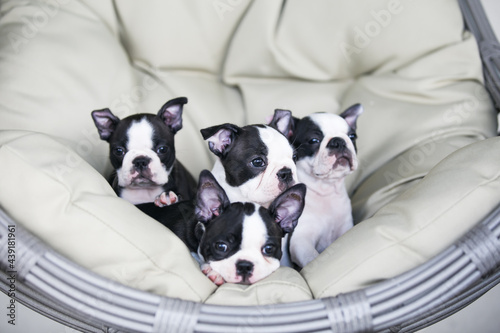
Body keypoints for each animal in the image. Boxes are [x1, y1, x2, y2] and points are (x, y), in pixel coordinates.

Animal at [286, 104, 364, 268]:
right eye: (314, 140)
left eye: (352, 136)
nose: (338, 141)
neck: (325, 189)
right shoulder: (300, 240)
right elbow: (312, 257)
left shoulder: (345, 229)